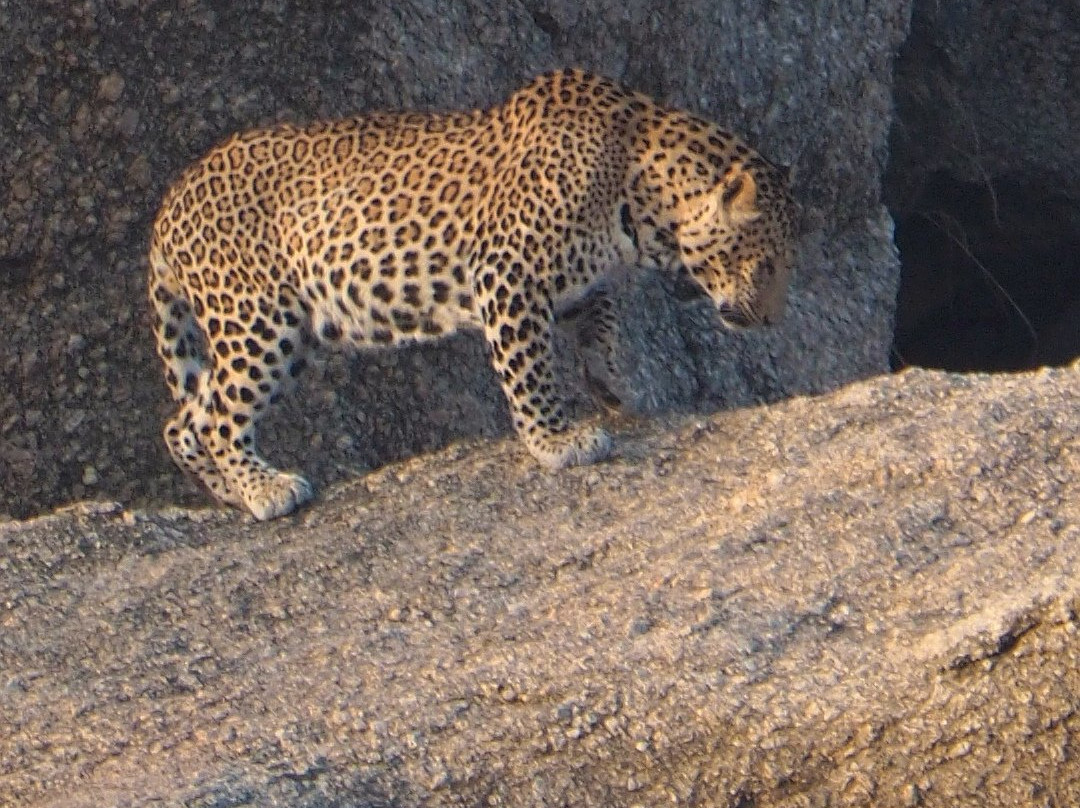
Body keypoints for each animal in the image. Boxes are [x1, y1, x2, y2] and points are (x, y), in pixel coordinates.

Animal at [149, 68, 797, 520]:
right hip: (257, 318)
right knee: (218, 418)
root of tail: (169, 202)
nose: (771, 321)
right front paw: (557, 440)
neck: (639, 192)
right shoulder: (507, 274)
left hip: (288, 332)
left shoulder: (577, 287)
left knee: (186, 417)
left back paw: (228, 495)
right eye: (766, 263)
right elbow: (530, 369)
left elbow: (604, 327)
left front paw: (615, 389)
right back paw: (266, 490)